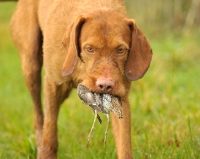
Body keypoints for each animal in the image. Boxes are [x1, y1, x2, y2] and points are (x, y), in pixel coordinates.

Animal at [9, 0, 152, 158]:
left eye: (121, 50)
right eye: (89, 49)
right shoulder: (53, 84)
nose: (105, 85)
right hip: (31, 65)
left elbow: (124, 146)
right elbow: (50, 132)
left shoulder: (120, 99)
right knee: (39, 116)